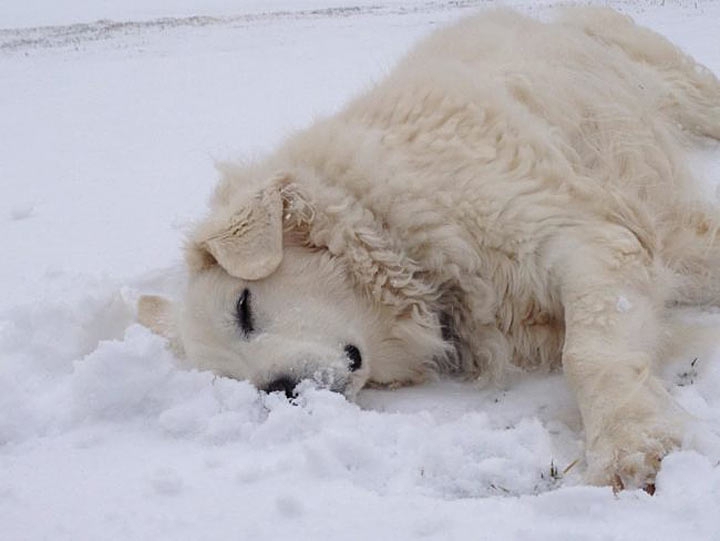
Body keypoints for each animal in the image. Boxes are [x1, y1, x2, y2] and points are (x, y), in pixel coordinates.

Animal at [138, 7, 720, 490]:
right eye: (230, 379)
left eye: (244, 307)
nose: (278, 392)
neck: (393, 230)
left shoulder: (582, 237)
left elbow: (589, 352)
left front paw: (630, 445)